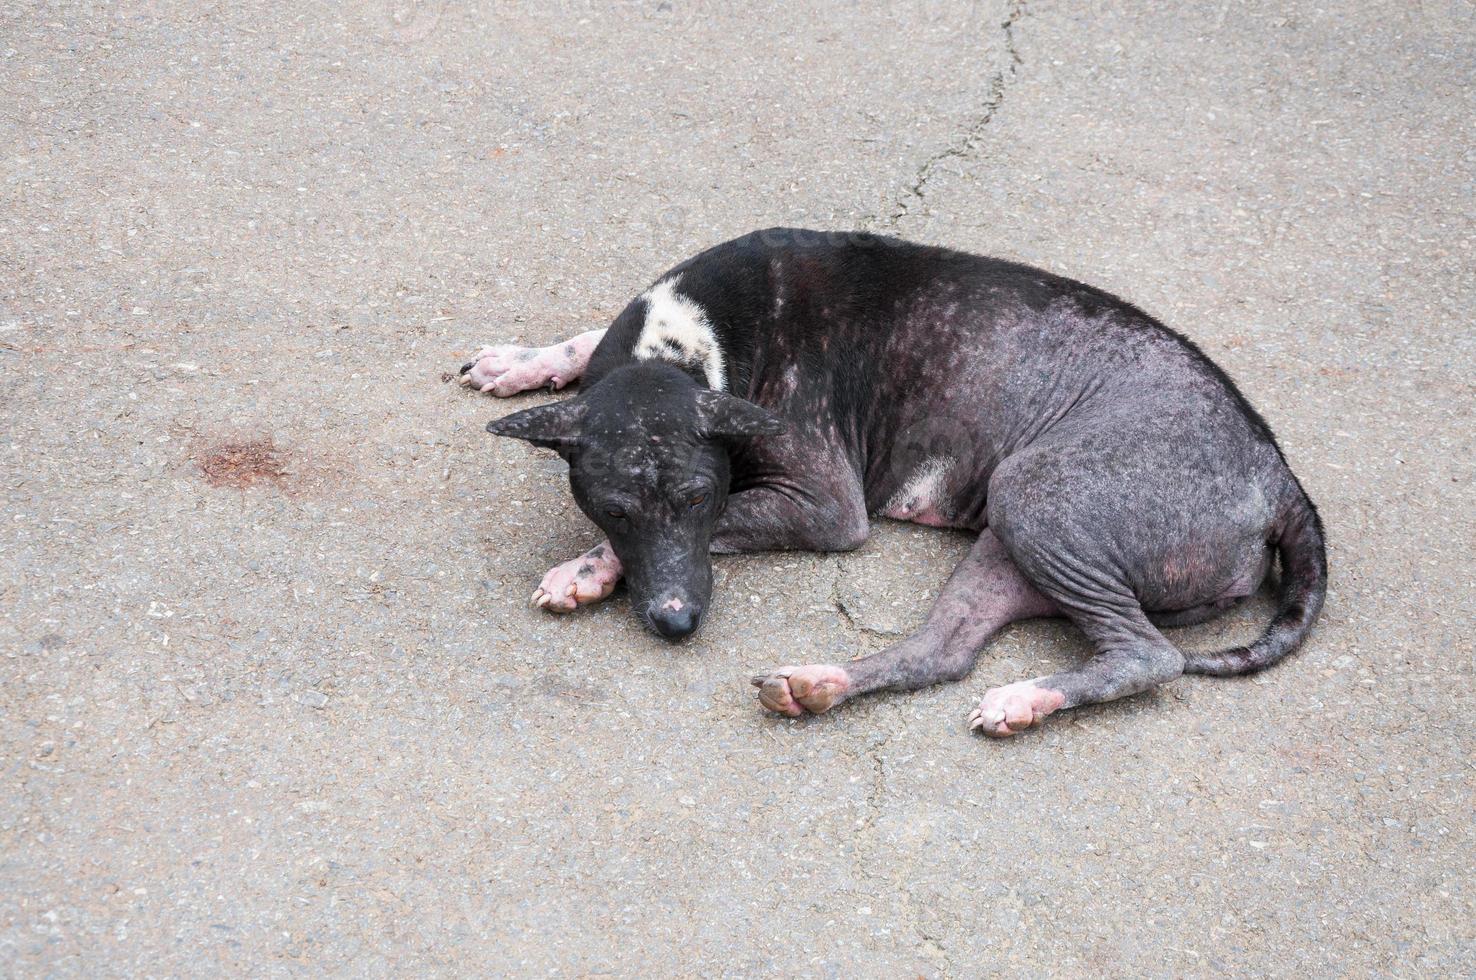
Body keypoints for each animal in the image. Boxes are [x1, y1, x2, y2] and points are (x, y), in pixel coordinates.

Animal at [469, 230, 1328, 735]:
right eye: (614, 506)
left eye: (696, 499)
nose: (677, 623)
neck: (690, 345)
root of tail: (1281, 474)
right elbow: (586, 347)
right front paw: (528, 361)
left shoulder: (821, 506)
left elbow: (718, 528)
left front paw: (587, 568)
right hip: (1011, 540)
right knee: (942, 653)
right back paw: (826, 685)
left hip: (1036, 494)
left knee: (1148, 658)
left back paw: (1032, 695)